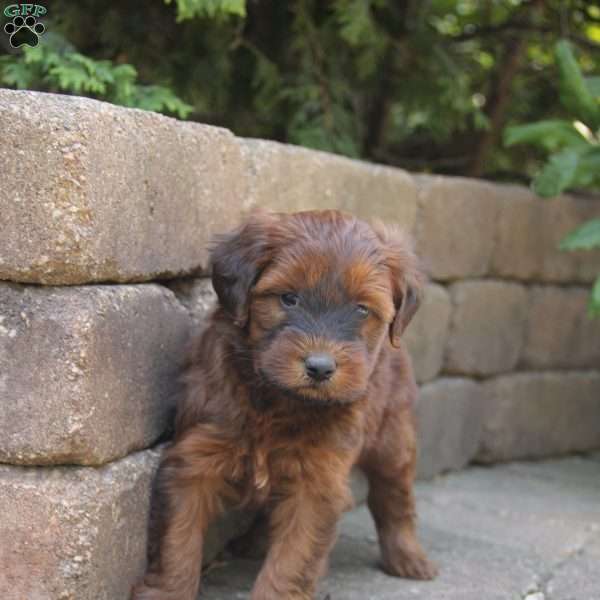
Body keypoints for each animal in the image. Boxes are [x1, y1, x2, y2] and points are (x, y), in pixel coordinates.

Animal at [134, 211, 438, 600]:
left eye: (361, 309)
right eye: (288, 298)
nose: (320, 367)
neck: (279, 401)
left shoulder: (318, 483)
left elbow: (293, 560)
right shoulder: (195, 458)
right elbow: (177, 542)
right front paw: (167, 591)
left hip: (393, 438)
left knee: (395, 498)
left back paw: (408, 556)